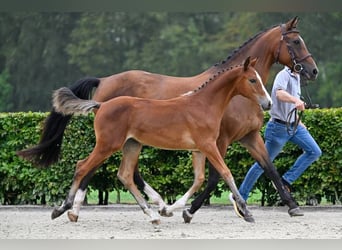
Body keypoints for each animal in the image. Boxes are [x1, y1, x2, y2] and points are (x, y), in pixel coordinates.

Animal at [18, 16, 318, 222]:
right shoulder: (218, 141)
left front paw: (291, 206)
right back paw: (71, 208)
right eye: (295, 41)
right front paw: (190, 210)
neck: (228, 96)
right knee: (93, 168)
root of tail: (102, 83)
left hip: (129, 141)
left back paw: (151, 206)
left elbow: (268, 168)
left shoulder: (248, 136)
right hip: (113, 141)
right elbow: (215, 177)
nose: (313, 71)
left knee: (124, 172)